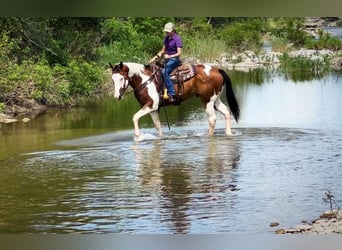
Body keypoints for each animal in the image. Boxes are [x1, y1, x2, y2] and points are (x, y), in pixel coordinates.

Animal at [110, 60, 240, 139]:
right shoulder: (153, 109)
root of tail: (217, 70)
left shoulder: (151, 105)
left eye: (121, 78)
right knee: (227, 112)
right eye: (112, 79)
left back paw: (209, 136)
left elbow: (135, 117)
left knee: (212, 119)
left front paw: (138, 136)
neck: (145, 80)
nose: (117, 96)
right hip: (215, 100)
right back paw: (228, 133)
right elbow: (157, 126)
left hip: (207, 100)